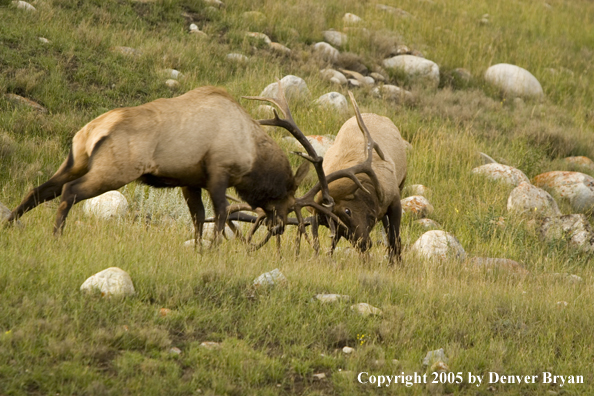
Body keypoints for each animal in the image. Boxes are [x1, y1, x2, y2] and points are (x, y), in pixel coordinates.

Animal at [4, 86, 312, 244]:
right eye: (288, 194)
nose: (279, 226)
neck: (251, 156)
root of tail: (91, 130)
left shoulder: (191, 181)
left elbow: (198, 218)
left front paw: (199, 251)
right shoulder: (218, 172)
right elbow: (221, 214)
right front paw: (213, 250)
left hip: (74, 161)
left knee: (38, 190)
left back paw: (7, 225)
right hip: (113, 171)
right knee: (69, 191)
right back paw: (56, 236)